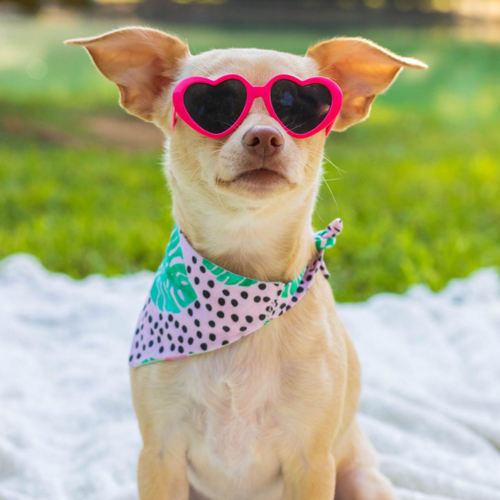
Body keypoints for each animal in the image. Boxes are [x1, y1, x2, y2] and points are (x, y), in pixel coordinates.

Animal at [65, 28, 426, 500]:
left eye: (299, 106)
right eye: (213, 106)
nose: (265, 136)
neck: (242, 282)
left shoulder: (311, 463)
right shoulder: (159, 456)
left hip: (364, 481)